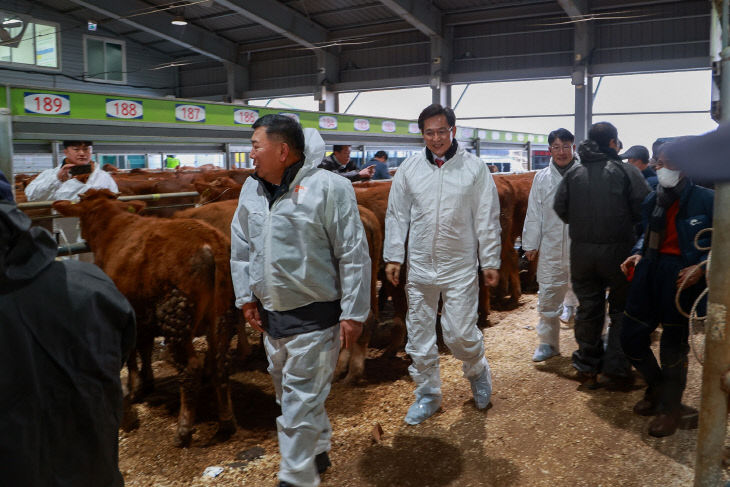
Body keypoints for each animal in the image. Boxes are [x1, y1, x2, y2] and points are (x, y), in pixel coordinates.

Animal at [54, 189, 236, 448]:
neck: (112, 228)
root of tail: (211, 242)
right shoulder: (143, 313)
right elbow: (146, 347)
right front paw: (147, 381)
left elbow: (133, 353)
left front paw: (134, 386)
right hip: (223, 312)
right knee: (220, 361)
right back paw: (226, 422)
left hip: (176, 315)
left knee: (191, 368)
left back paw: (183, 430)